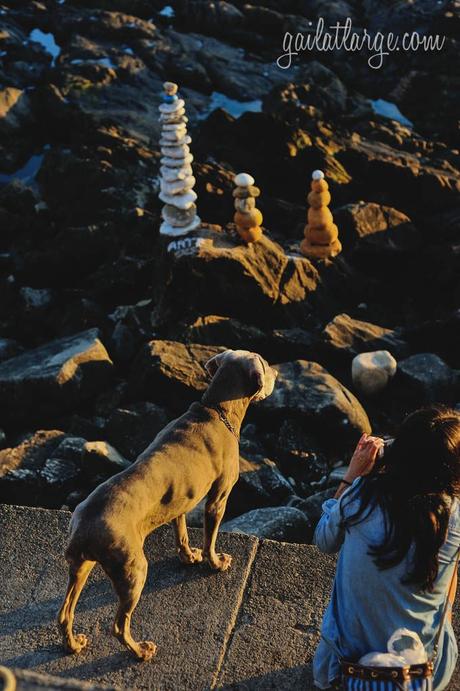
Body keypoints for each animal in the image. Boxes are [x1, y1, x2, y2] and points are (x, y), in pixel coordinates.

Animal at [55, 348, 274, 664]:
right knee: (119, 625)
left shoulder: (181, 500)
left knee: (64, 614)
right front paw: (215, 562)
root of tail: (82, 529)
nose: (277, 373)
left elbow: (181, 532)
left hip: (81, 566)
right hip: (133, 568)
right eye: (266, 365)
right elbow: (210, 539)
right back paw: (141, 651)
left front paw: (189, 556)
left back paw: (73, 645)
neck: (216, 411)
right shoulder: (218, 497)